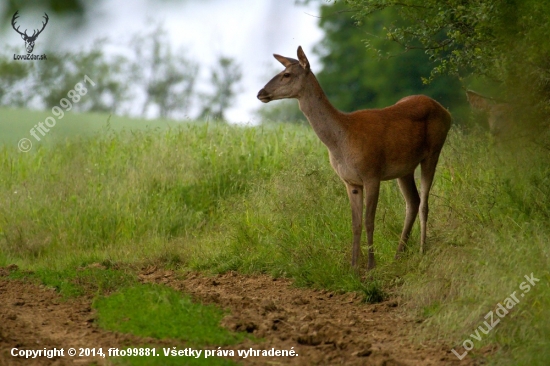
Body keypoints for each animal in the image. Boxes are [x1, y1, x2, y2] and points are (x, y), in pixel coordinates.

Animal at [258, 45, 452, 270]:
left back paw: (421, 250)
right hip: (405, 168)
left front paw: (370, 266)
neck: (341, 140)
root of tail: (446, 111)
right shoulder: (350, 181)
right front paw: (353, 267)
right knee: (413, 201)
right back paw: (398, 255)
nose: (260, 93)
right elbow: (355, 223)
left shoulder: (371, 173)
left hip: (434, 149)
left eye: (286, 74)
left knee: (423, 203)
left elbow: (369, 220)